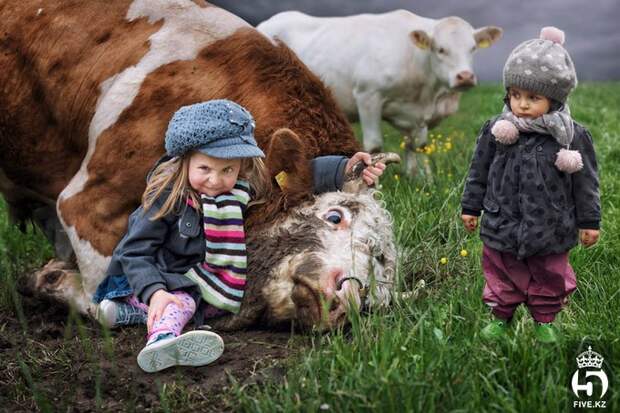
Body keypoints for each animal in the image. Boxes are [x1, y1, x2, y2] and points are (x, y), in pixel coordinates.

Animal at [0, 0, 398, 330]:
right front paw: (49, 279)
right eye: (334, 216)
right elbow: (111, 302)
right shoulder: (87, 204)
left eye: (376, 286)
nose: (347, 298)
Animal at [256, 9, 504, 174]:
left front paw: (419, 177)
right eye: (441, 49)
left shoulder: (417, 113)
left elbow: (417, 146)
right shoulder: (368, 95)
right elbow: (374, 145)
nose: (465, 76)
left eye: (473, 48)